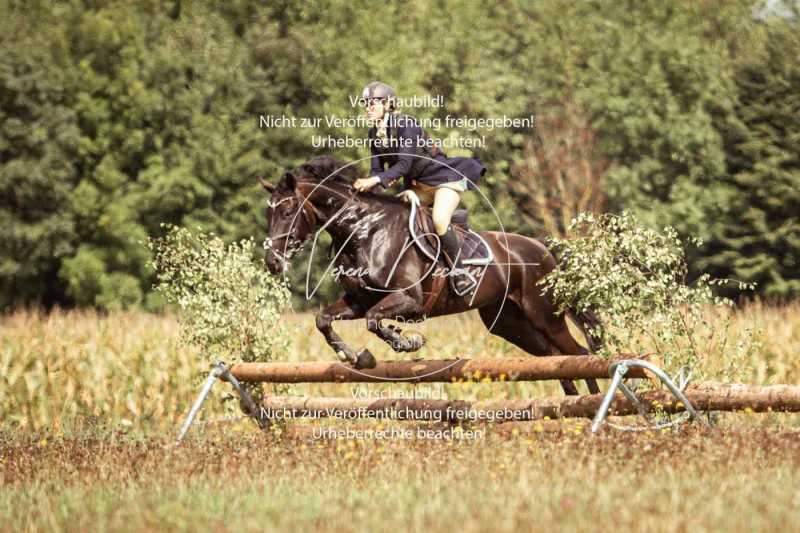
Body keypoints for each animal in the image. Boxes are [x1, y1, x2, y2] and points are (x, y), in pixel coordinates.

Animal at [260, 155, 600, 394]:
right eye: (268, 213)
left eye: (287, 212)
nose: (272, 263)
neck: (365, 231)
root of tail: (541, 246)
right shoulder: (357, 301)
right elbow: (324, 319)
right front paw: (355, 357)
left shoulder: (410, 300)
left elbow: (373, 320)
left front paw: (406, 342)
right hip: (509, 322)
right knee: (552, 358)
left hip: (543, 313)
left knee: (577, 353)